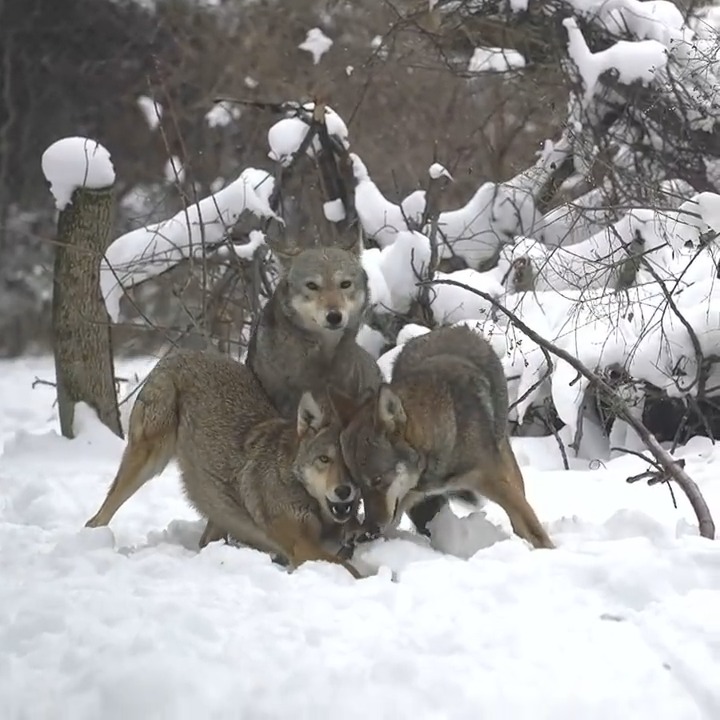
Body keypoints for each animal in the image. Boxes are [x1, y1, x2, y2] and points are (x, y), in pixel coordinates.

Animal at [84, 351, 365, 578]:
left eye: (350, 463)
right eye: (324, 459)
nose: (343, 491)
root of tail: (179, 352)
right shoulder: (302, 546)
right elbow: (351, 571)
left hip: (215, 500)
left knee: (206, 538)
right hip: (147, 461)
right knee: (99, 516)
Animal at [332, 325, 555, 550]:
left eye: (377, 480)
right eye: (358, 483)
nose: (371, 527)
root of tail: (452, 328)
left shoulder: (497, 483)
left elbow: (537, 534)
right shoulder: (409, 494)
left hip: (508, 466)